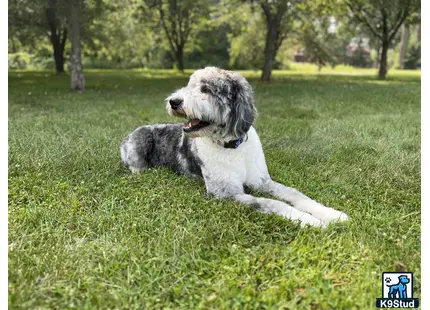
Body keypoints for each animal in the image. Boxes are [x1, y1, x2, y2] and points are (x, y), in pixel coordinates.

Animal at [119, 66, 348, 228]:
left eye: (205, 89)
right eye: (189, 85)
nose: (173, 101)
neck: (232, 147)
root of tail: (126, 137)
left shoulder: (261, 180)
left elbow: (295, 194)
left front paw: (331, 214)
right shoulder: (226, 192)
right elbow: (272, 203)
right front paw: (311, 221)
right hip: (140, 139)